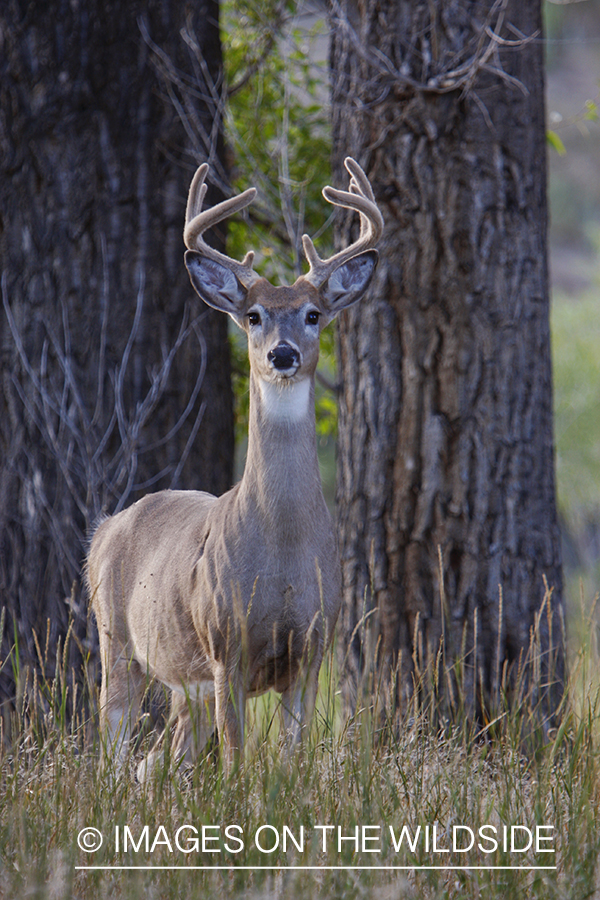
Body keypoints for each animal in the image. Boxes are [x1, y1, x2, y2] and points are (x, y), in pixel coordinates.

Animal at [86, 158, 382, 776]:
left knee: (159, 762)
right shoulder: (227, 647)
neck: (283, 552)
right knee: (115, 755)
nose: (282, 354)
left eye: (313, 314)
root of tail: (104, 529)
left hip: (183, 685)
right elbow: (238, 765)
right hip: (116, 641)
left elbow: (293, 762)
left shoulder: (311, 652)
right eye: (252, 316)